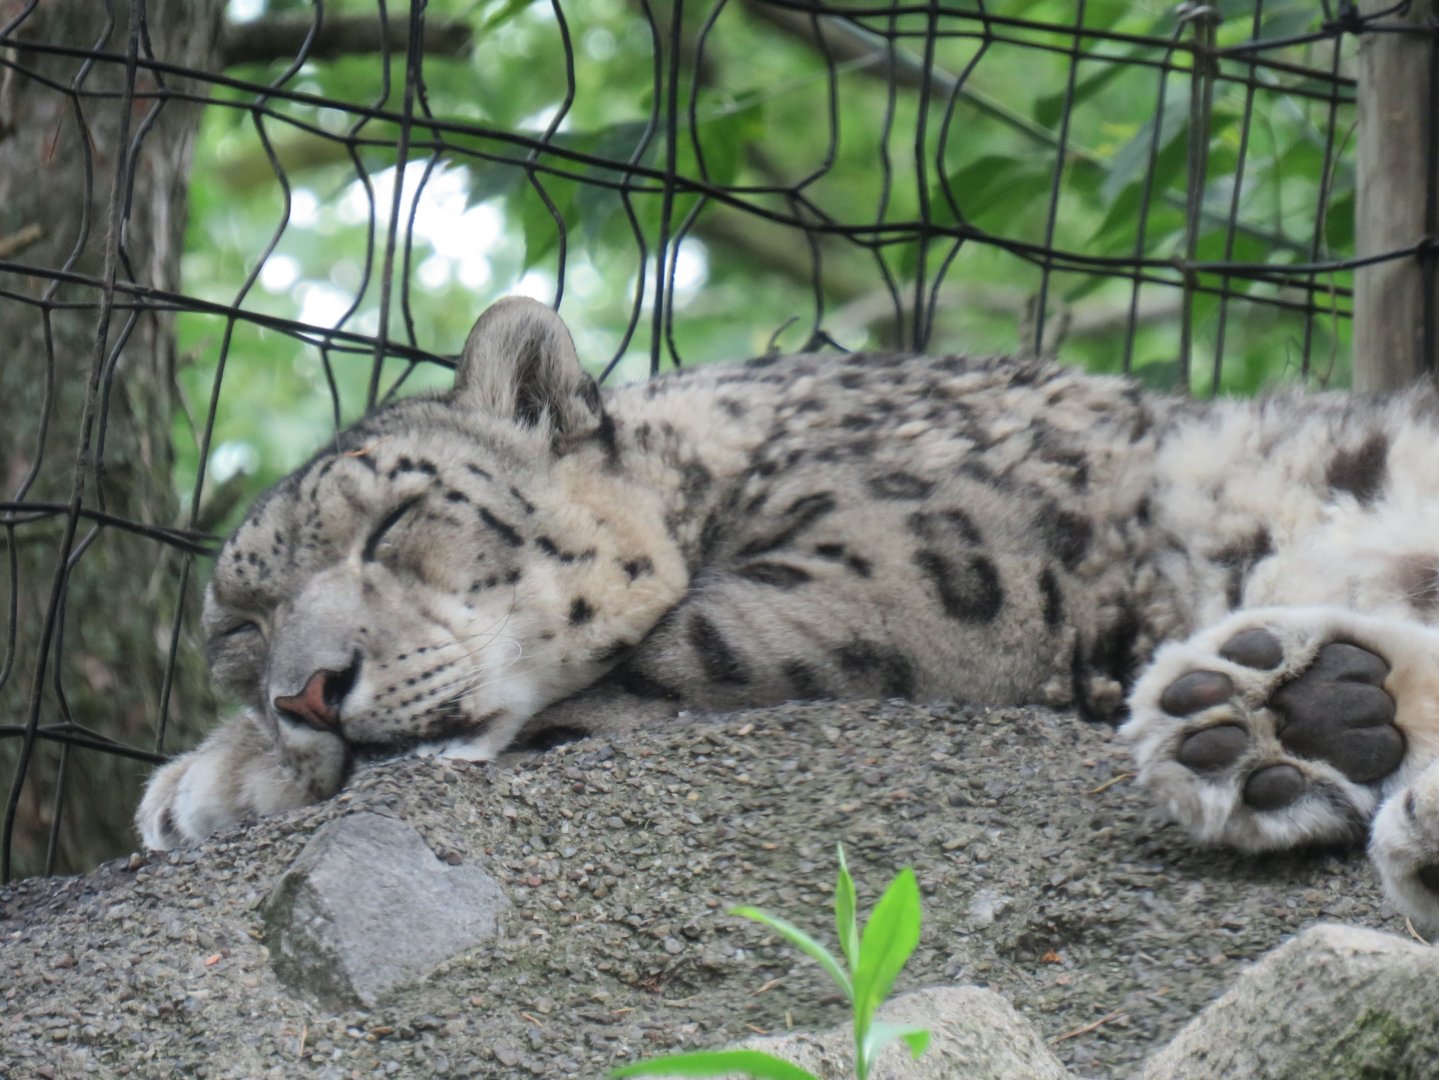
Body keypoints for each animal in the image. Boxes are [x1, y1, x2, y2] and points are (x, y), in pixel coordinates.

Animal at [138, 295, 1439, 935]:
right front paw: (214, 776)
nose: (306, 693)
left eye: (394, 521)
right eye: (239, 630)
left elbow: (642, 667)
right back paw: (1288, 710)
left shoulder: (904, 575)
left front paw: (216, 776)